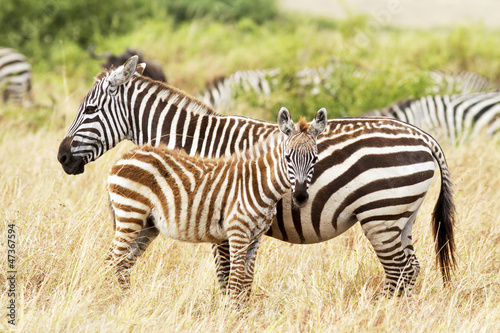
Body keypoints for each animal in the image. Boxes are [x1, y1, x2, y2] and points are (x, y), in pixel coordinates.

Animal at [108, 106, 328, 300]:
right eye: (288, 157)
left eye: (315, 158)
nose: (300, 196)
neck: (257, 182)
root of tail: (125, 157)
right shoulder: (238, 233)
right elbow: (236, 281)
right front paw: (231, 315)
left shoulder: (256, 238)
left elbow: (247, 281)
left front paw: (243, 315)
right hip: (130, 215)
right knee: (112, 260)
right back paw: (112, 300)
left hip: (147, 225)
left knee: (123, 262)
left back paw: (126, 300)